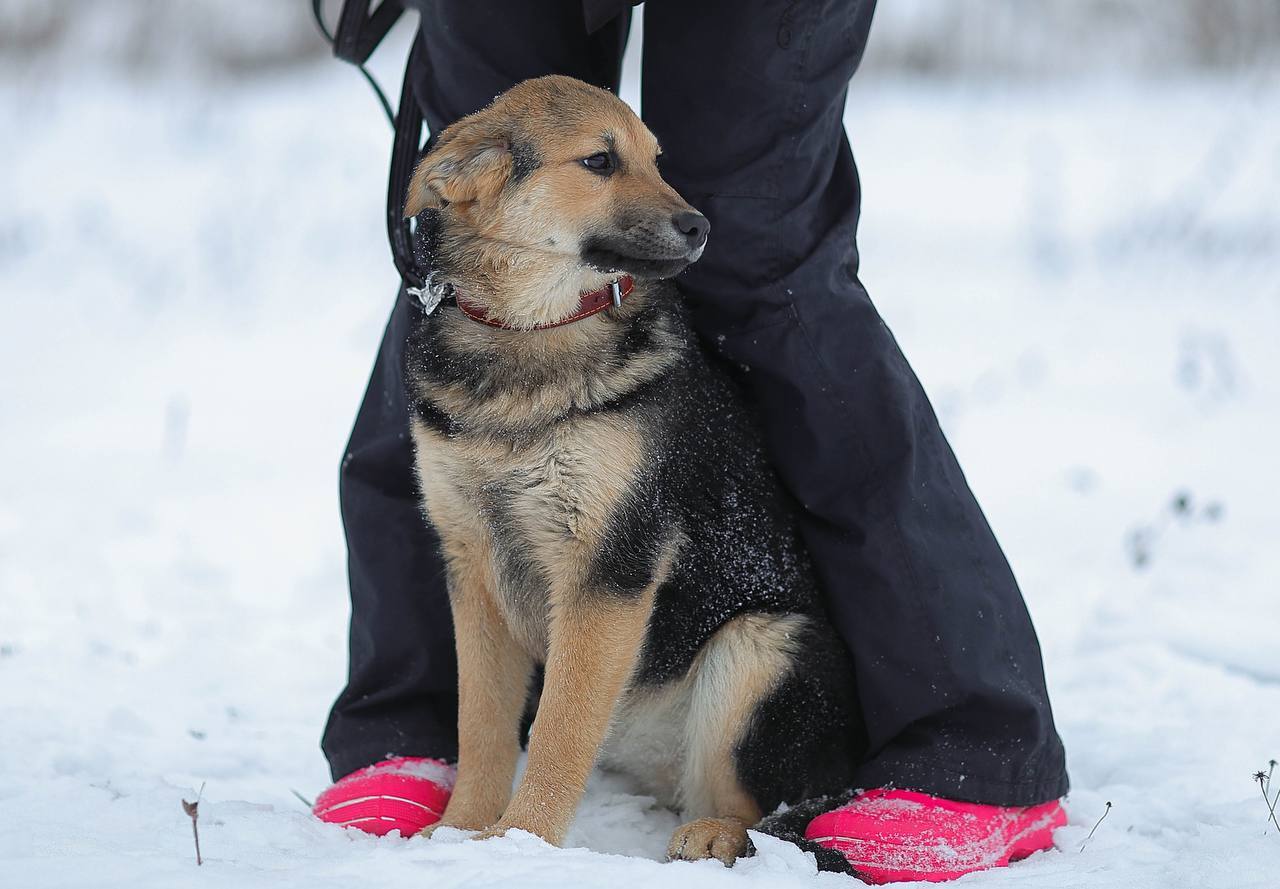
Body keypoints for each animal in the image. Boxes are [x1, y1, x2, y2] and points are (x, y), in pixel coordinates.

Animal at [399, 78, 865, 869]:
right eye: (599, 161)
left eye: (654, 159)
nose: (700, 227)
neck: (533, 330)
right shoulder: (471, 563)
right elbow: (482, 725)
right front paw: (462, 832)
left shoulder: (608, 566)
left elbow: (558, 728)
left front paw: (522, 841)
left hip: (760, 647)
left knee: (765, 806)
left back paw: (716, 833)